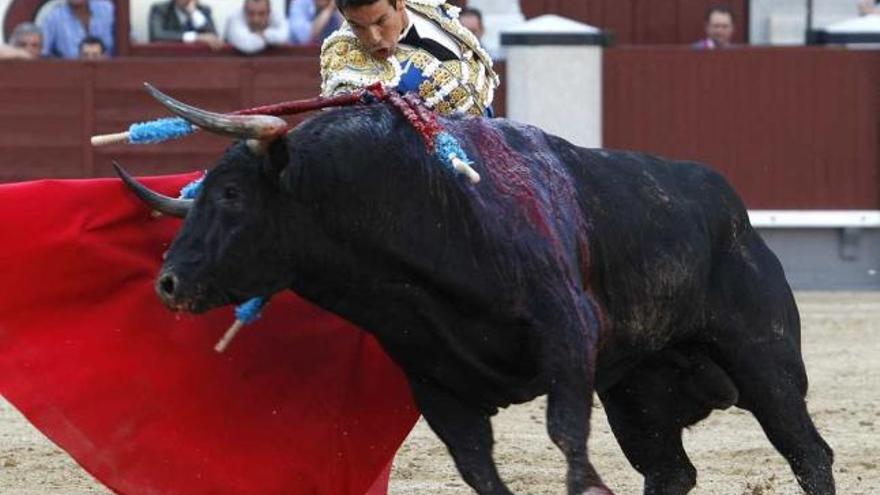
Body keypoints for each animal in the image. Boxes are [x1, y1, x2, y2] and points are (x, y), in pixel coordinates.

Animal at [113, 89, 836, 495]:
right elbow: (481, 471)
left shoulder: (567, 334)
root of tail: (730, 205)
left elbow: (567, 438)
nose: (169, 282)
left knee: (808, 452)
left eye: (232, 194)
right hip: (638, 392)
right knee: (669, 471)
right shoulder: (439, 387)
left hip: (764, 358)